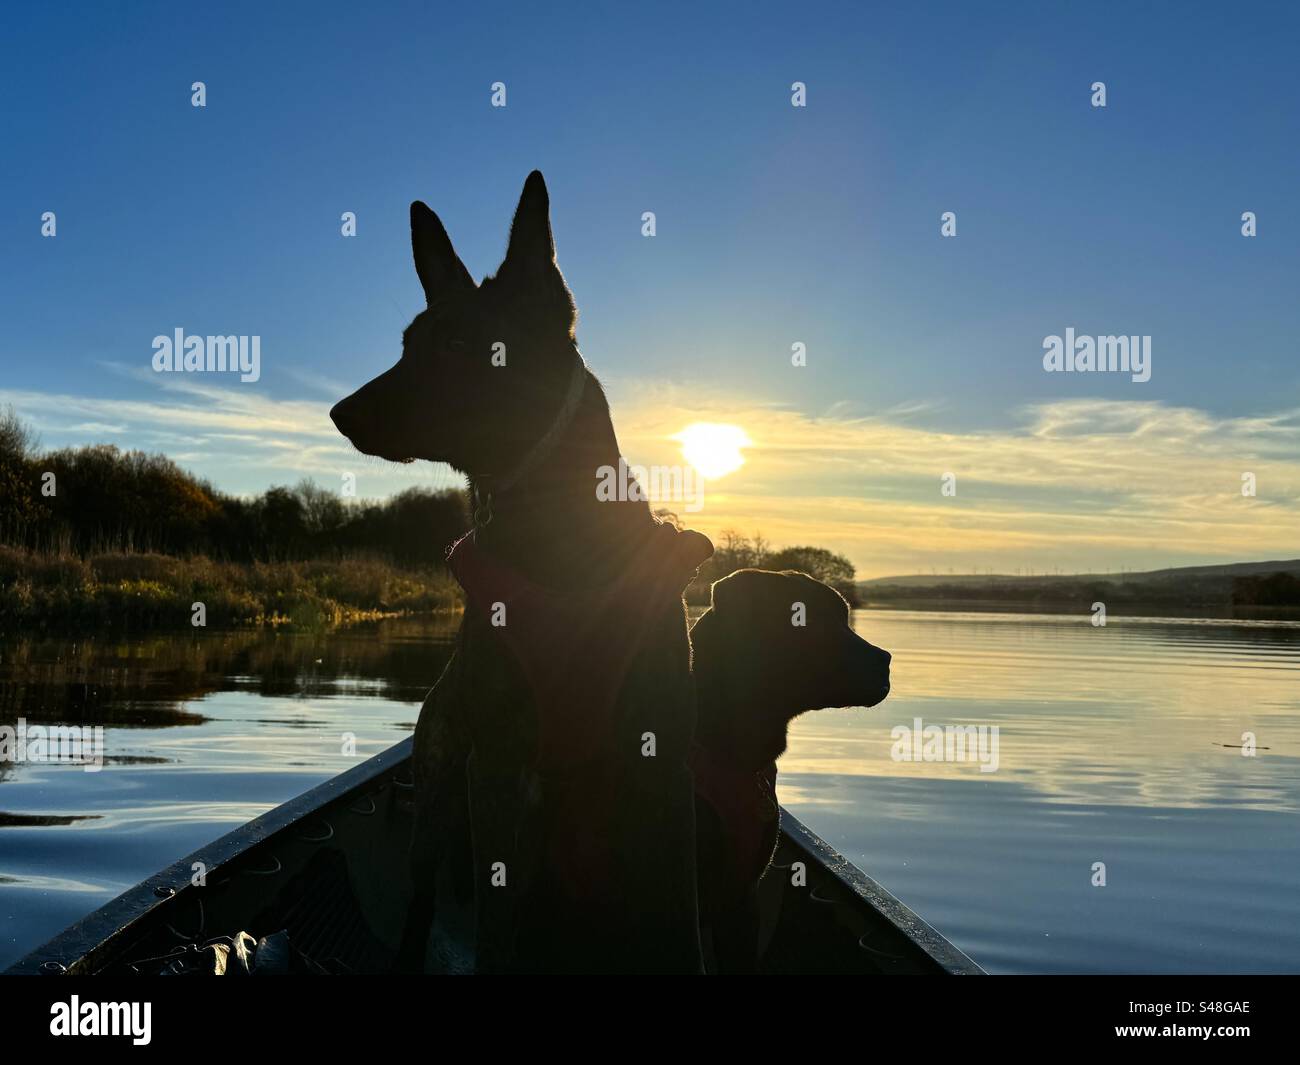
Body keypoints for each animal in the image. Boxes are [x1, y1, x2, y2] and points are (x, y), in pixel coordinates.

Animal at [325, 169, 712, 972]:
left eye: (460, 343)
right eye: (407, 343)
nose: (342, 412)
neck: (557, 544)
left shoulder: (662, 766)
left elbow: (681, 930)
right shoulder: (498, 765)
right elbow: (494, 931)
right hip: (441, 790)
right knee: (429, 893)